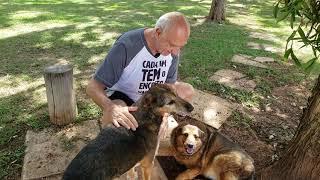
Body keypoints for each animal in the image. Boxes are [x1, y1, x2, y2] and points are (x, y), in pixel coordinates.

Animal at [62, 84, 192, 180]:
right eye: (170, 102)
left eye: (177, 94)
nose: (192, 108)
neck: (146, 115)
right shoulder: (148, 165)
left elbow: (131, 170)